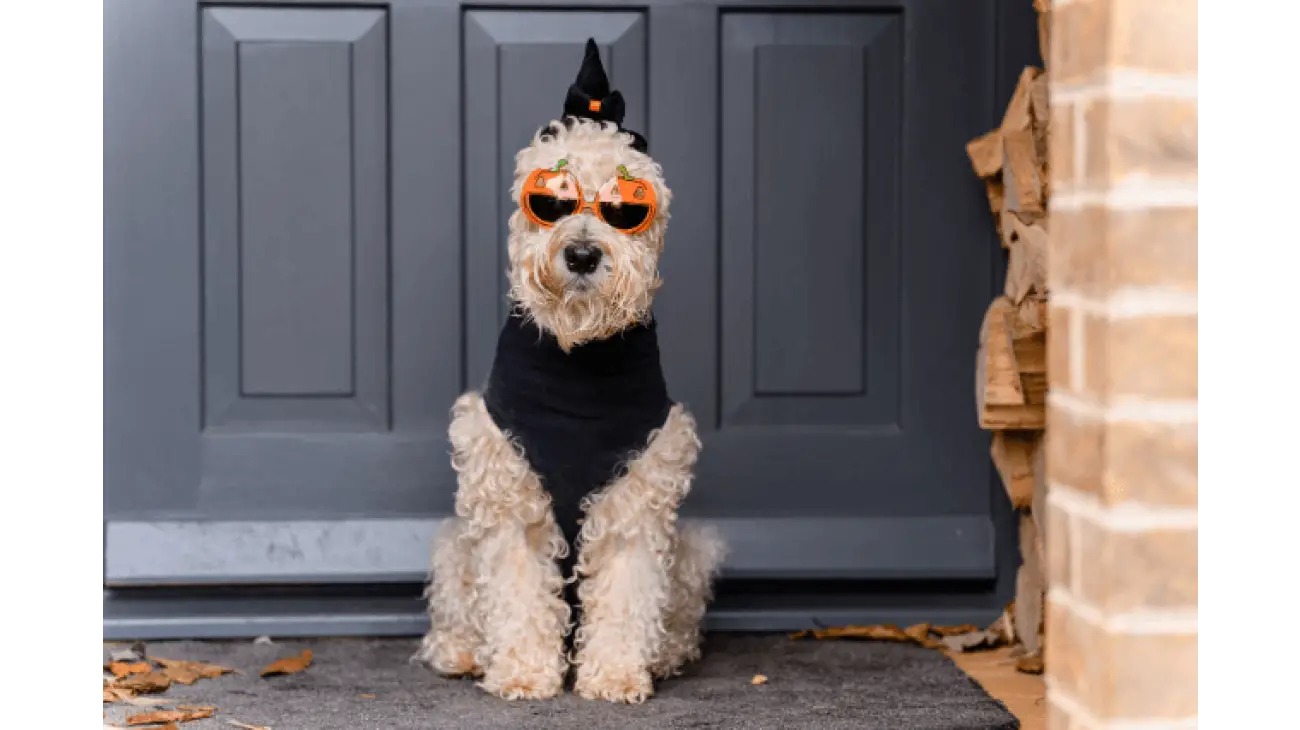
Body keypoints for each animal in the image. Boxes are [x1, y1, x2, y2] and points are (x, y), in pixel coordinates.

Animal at [413, 38, 728, 701]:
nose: (582, 254)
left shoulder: (636, 498)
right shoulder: (508, 498)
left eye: (625, 208)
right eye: (551, 199)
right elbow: (517, 593)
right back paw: (461, 652)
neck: (578, 360)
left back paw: (666, 655)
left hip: (691, 551)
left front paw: (614, 672)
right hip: (456, 544)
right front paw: (524, 671)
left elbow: (629, 592)